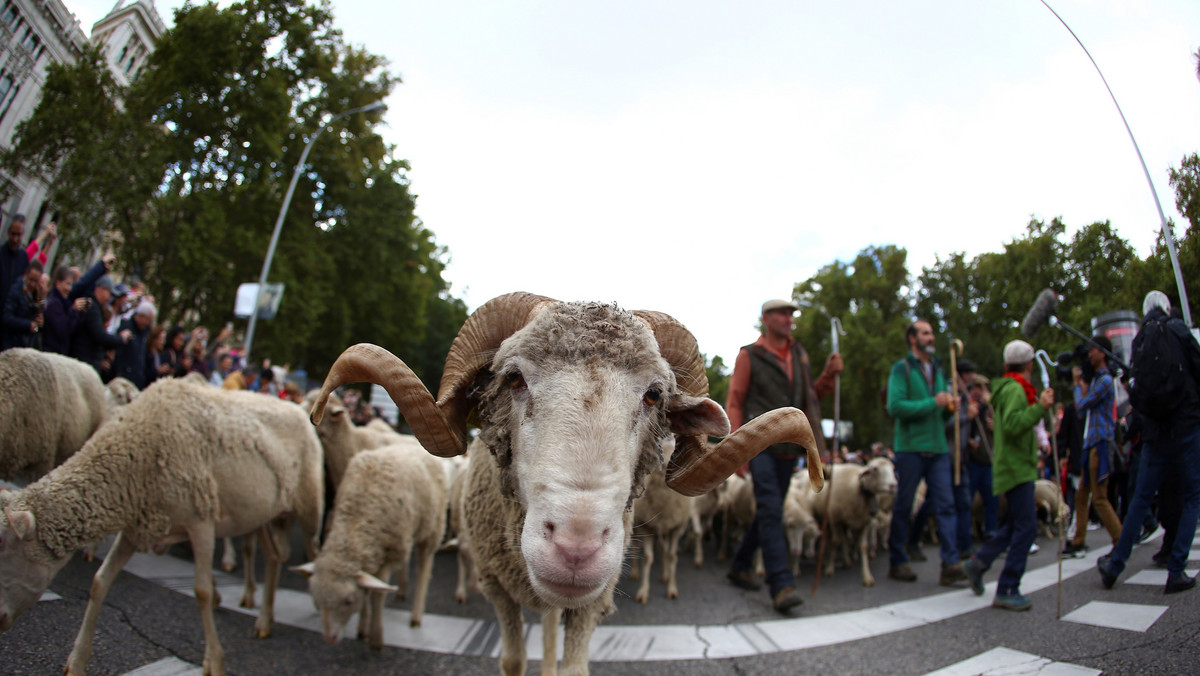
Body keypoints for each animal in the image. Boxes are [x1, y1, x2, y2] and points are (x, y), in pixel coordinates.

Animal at [0, 381, 324, 676]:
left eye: (5, 551)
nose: (0, 621)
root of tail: (297, 408)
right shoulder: (137, 527)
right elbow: (99, 582)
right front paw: (77, 661)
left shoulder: (201, 521)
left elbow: (201, 591)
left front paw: (214, 660)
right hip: (263, 515)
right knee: (273, 558)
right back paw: (265, 620)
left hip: (308, 506)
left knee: (312, 553)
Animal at [292, 441, 448, 653]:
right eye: (316, 597)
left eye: (348, 601)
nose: (329, 638)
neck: (356, 520)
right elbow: (366, 592)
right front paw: (362, 629)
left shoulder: (386, 555)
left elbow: (376, 596)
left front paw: (375, 637)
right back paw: (401, 590)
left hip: (431, 529)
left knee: (424, 570)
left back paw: (416, 615)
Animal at [309, 291, 825, 676]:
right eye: (513, 378)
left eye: (655, 396)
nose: (577, 548)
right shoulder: (497, 587)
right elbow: (513, 661)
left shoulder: (591, 604)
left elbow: (571, 666)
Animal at [811, 458, 897, 590]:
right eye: (874, 469)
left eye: (893, 468)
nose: (893, 486)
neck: (857, 487)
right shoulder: (835, 519)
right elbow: (835, 542)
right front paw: (829, 569)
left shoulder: (864, 522)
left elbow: (864, 547)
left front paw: (867, 576)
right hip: (824, 519)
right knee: (829, 538)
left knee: (845, 539)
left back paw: (847, 561)